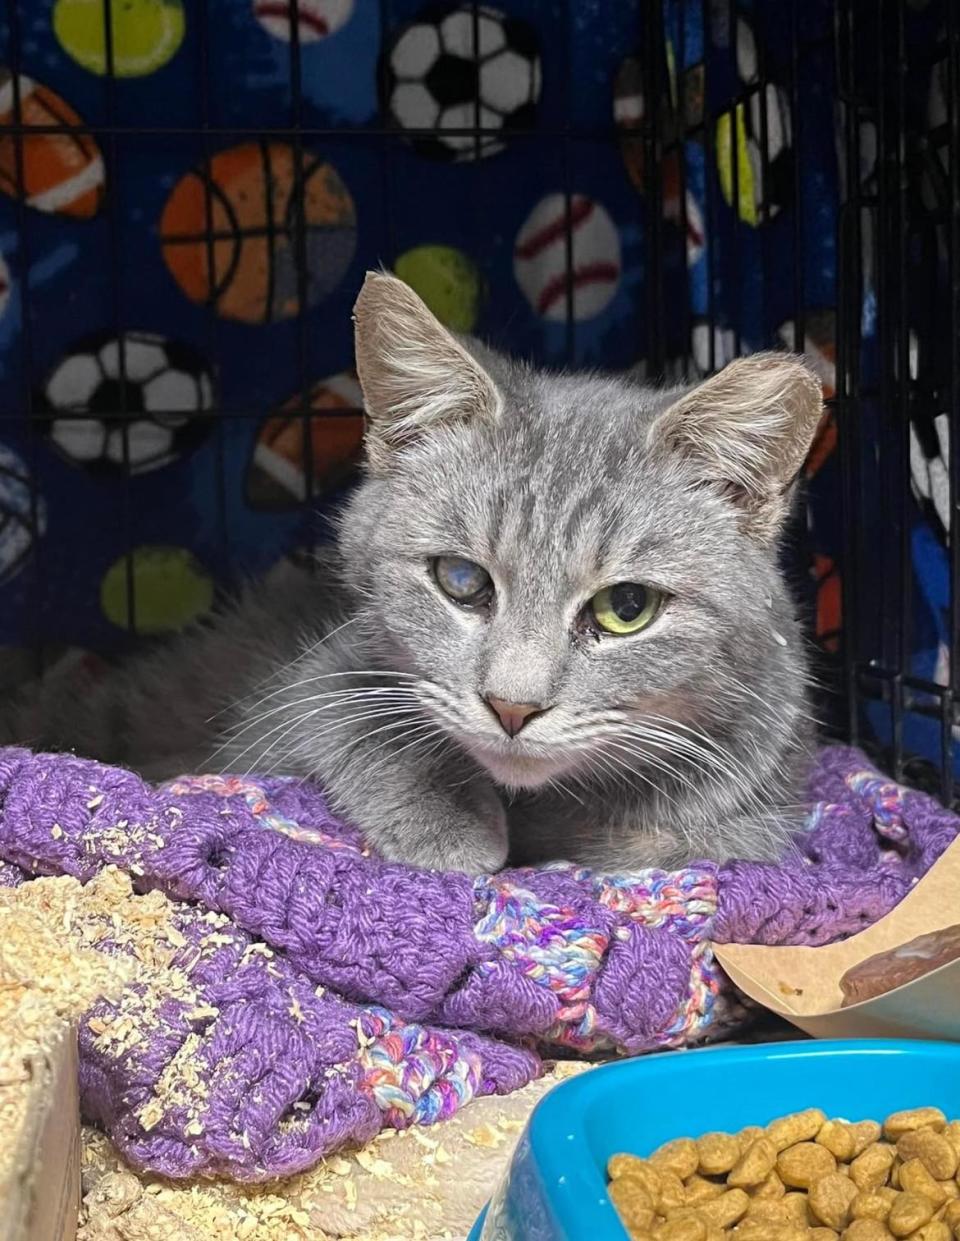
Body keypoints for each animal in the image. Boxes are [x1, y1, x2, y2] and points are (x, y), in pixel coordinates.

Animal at [3, 271, 823, 873]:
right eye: (461, 580)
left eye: (627, 607)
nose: (512, 707)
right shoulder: (306, 687)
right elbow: (359, 726)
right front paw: (449, 818)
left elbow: (669, 836)